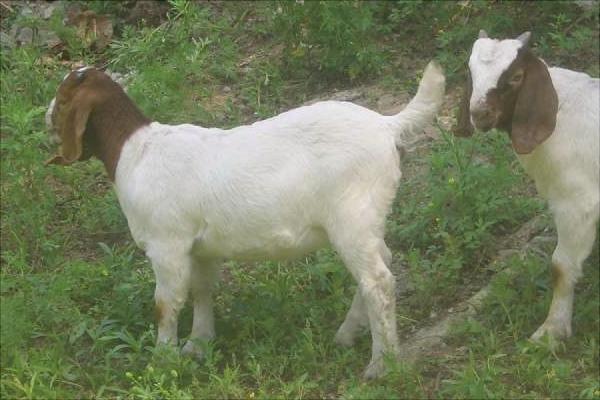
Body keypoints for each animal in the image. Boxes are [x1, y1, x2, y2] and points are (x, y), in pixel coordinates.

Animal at [458, 31, 596, 342]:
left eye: (517, 76)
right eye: (471, 72)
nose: (479, 113)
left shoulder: (577, 204)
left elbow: (561, 266)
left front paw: (551, 332)